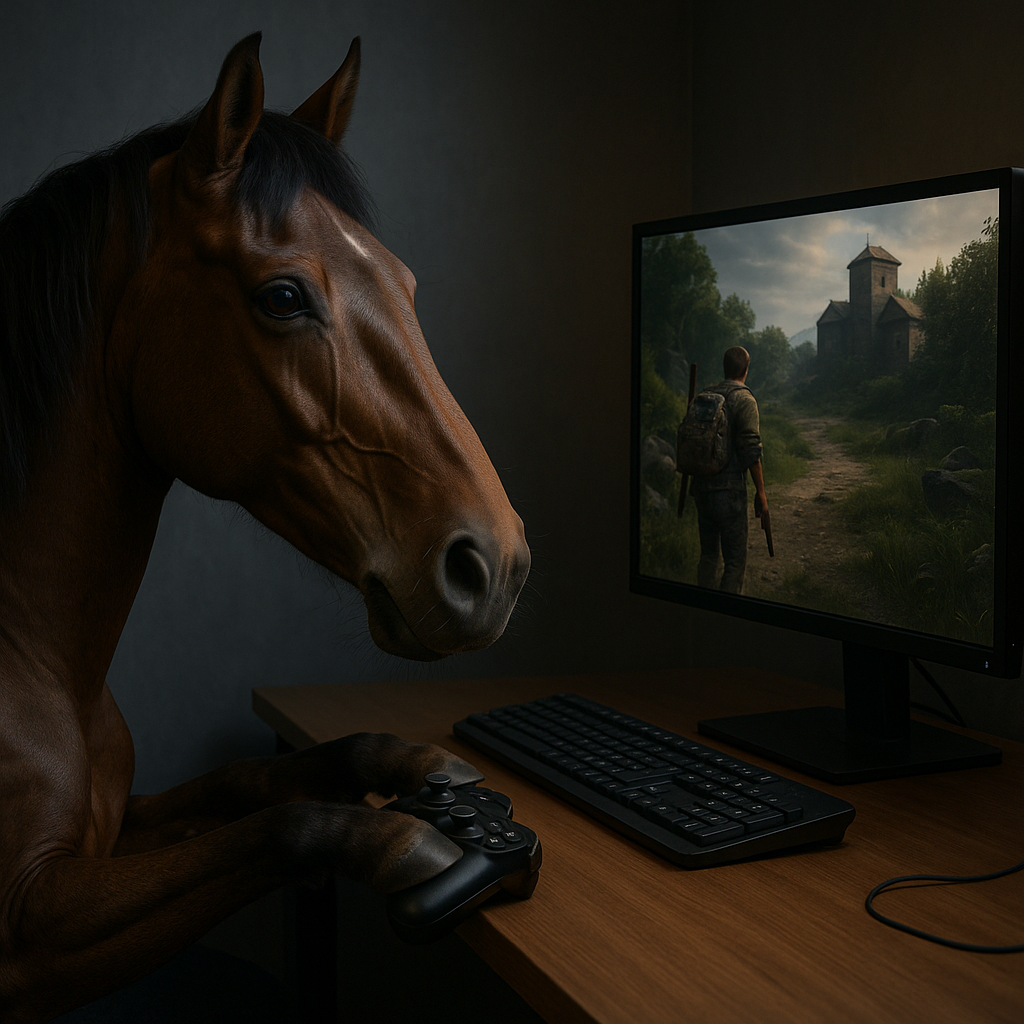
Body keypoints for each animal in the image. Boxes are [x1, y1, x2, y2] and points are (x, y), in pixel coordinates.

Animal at [0, 33, 530, 1022]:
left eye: (404, 284)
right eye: (284, 297)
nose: (495, 566)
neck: (37, 660)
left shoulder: (120, 828)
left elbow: (251, 781)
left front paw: (413, 767)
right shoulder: (30, 926)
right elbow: (278, 827)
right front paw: (408, 840)